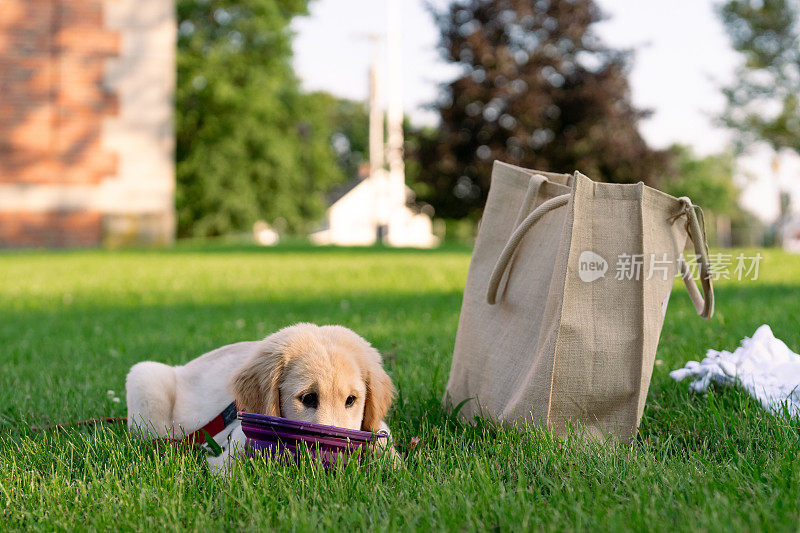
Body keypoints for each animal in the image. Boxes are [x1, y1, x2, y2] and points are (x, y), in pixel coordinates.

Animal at [125, 322, 396, 472]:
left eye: (351, 400)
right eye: (308, 398)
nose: (337, 458)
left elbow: (385, 442)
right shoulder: (230, 454)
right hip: (144, 376)